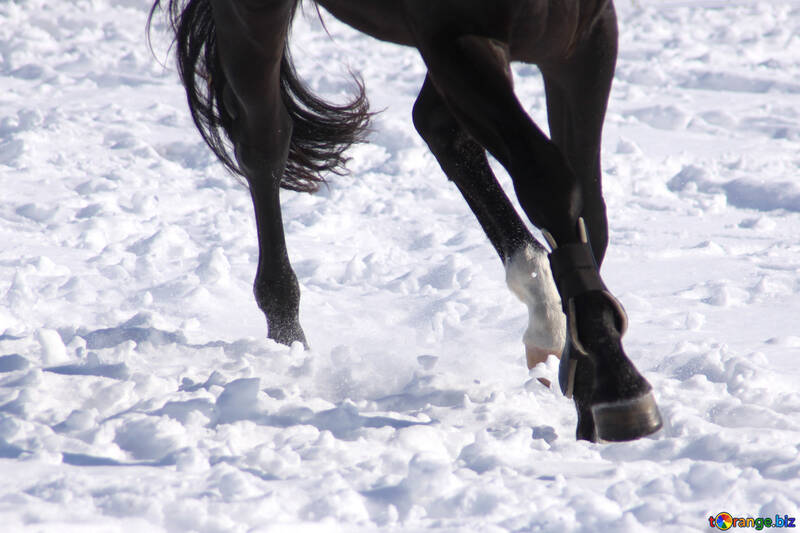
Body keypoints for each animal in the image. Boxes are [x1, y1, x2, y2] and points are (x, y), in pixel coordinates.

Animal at [148, 0, 664, 440]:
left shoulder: (584, 37)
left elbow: (590, 209)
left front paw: (587, 374)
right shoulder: (454, 38)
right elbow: (551, 183)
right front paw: (615, 383)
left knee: (438, 127)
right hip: (256, 16)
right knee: (264, 140)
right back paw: (285, 328)